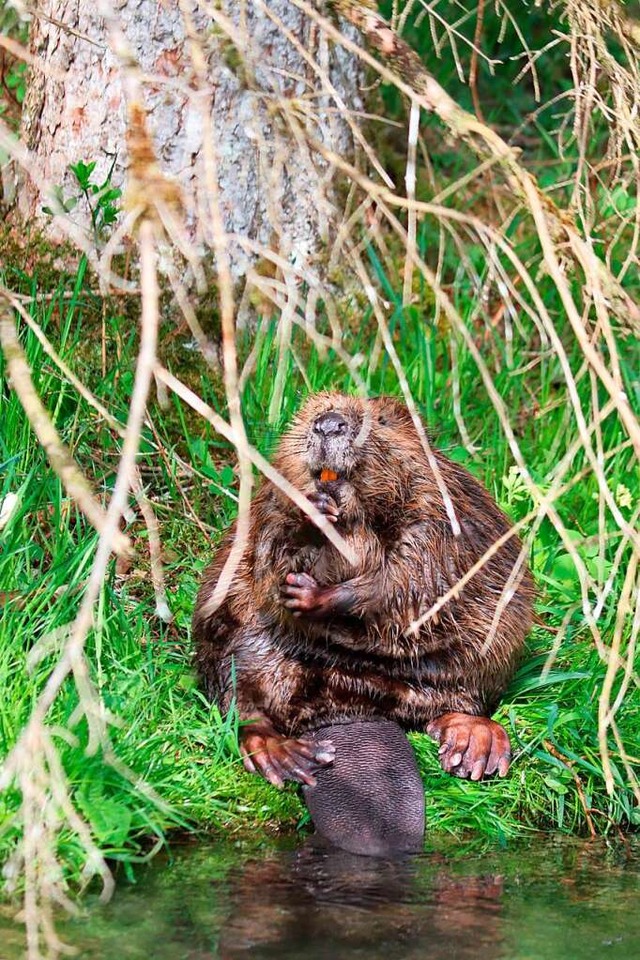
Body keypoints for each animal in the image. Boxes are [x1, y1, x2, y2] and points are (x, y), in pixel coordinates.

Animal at [194, 392, 536, 824]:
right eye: (308, 413)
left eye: (383, 421)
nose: (329, 424)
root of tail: (349, 712)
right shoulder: (267, 506)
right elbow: (270, 553)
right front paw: (312, 512)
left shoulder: (439, 512)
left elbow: (411, 576)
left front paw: (314, 596)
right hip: (240, 639)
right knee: (243, 703)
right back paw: (286, 755)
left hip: (481, 663)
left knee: (459, 703)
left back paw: (474, 744)